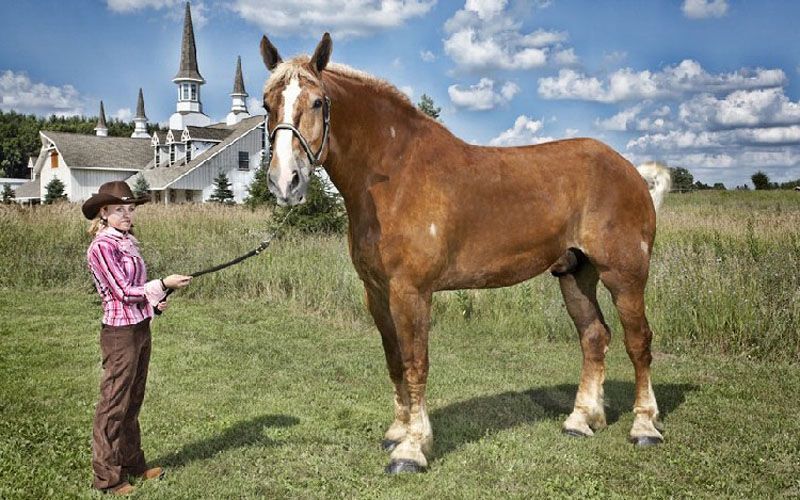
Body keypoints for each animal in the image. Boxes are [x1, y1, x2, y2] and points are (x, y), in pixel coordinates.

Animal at [260, 34, 672, 472]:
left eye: (318, 102)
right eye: (266, 103)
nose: (285, 182)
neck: (396, 174)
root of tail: (632, 171)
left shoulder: (411, 292)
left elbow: (415, 363)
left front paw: (412, 449)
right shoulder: (376, 292)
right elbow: (394, 361)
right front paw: (397, 432)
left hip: (624, 275)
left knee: (638, 341)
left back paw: (645, 427)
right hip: (575, 274)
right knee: (594, 336)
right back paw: (581, 420)